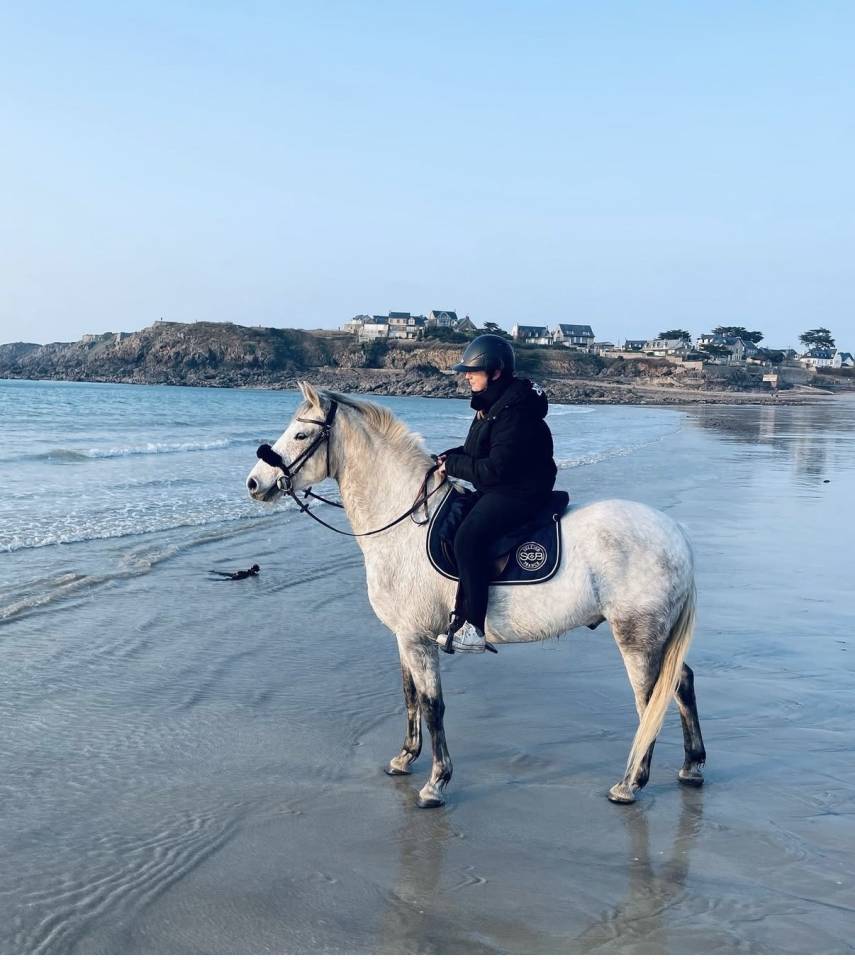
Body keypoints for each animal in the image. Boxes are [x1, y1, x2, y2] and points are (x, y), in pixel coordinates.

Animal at [245, 382, 706, 808]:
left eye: (301, 435)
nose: (254, 483)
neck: (404, 523)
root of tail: (677, 534)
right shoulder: (405, 636)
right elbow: (410, 696)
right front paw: (404, 759)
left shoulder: (417, 638)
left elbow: (432, 705)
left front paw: (435, 783)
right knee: (680, 683)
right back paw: (691, 766)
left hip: (637, 637)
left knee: (649, 700)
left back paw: (630, 784)